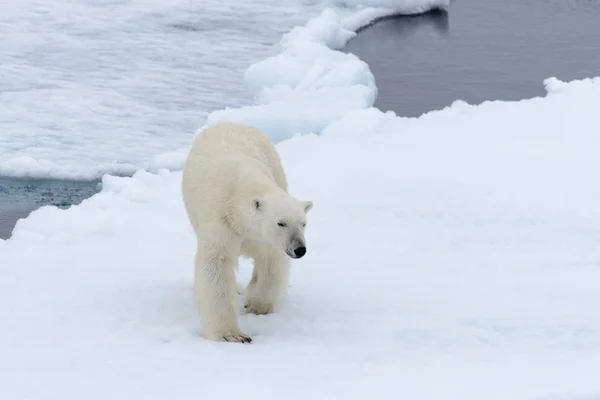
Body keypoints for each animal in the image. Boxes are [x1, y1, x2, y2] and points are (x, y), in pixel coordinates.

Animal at [180, 122, 314, 344]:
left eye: (303, 224)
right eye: (281, 223)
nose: (299, 249)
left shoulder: (263, 237)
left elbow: (272, 262)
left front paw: (256, 305)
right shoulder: (221, 222)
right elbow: (216, 265)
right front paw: (231, 334)